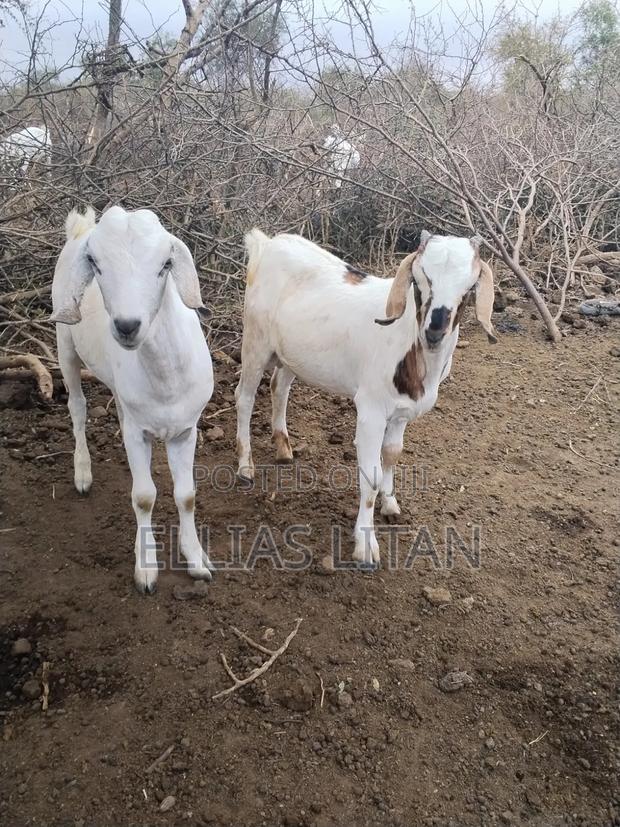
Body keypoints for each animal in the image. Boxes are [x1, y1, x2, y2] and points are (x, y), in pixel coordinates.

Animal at [51, 206, 214, 593]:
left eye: (166, 263)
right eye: (94, 263)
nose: (127, 325)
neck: (165, 375)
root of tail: (81, 224)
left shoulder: (187, 429)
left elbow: (187, 494)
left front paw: (197, 560)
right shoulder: (140, 432)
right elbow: (143, 496)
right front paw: (146, 569)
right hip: (65, 341)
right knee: (77, 407)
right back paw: (82, 473)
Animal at [235, 229, 497, 567]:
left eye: (470, 286)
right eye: (420, 279)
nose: (434, 331)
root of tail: (267, 244)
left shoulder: (401, 413)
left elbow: (393, 454)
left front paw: (390, 504)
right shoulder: (371, 411)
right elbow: (370, 475)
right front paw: (365, 545)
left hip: (291, 353)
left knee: (279, 385)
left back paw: (283, 448)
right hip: (255, 342)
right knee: (244, 397)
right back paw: (245, 466)